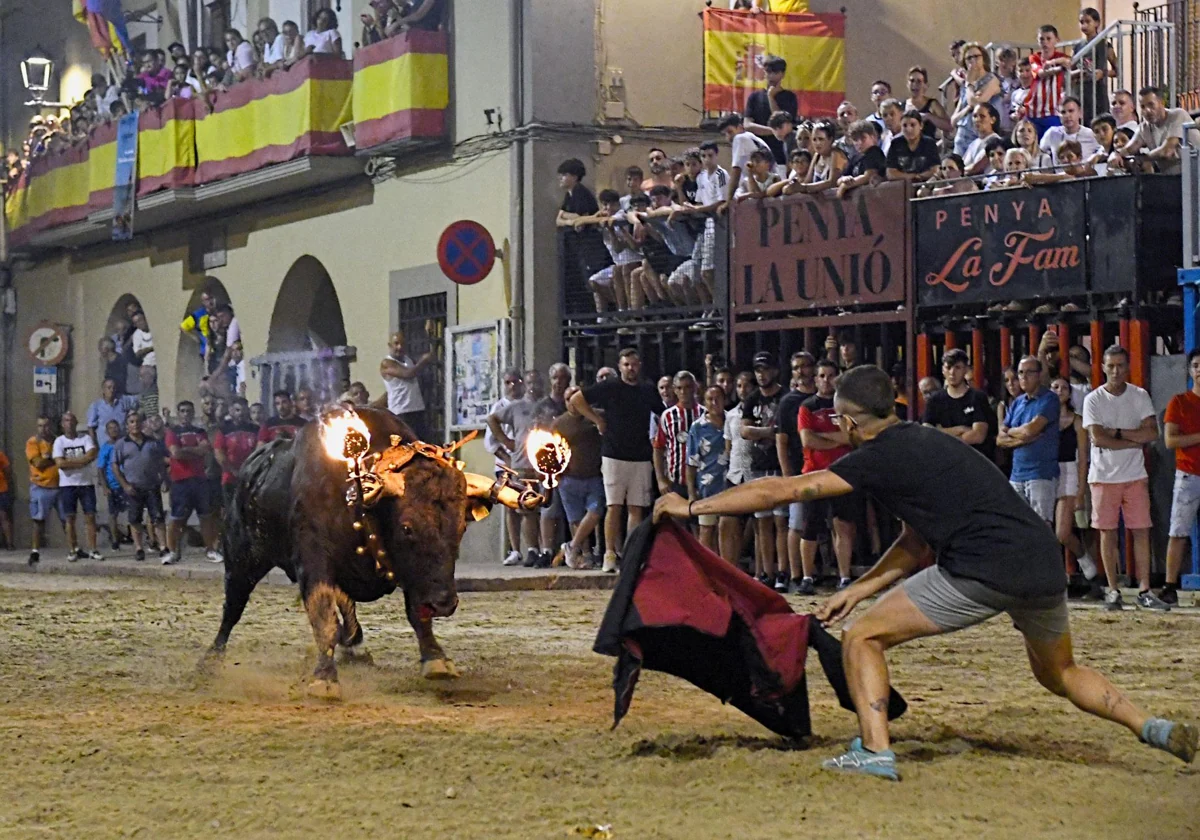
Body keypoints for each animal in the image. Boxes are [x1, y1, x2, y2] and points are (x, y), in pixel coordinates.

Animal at [213, 405, 549, 696]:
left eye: (460, 529)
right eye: (407, 528)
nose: (444, 603)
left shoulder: (416, 577)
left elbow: (416, 613)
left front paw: (436, 659)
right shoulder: (313, 562)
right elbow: (323, 616)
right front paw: (325, 678)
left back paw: (355, 644)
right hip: (242, 558)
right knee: (233, 607)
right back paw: (211, 661)